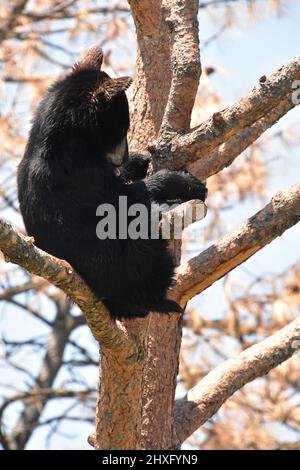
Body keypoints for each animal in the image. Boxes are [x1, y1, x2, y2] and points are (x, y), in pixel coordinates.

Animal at [17, 46, 207, 320]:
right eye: (121, 128)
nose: (124, 156)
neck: (71, 135)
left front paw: (141, 161)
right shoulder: (78, 169)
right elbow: (122, 198)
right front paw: (181, 182)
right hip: (125, 265)